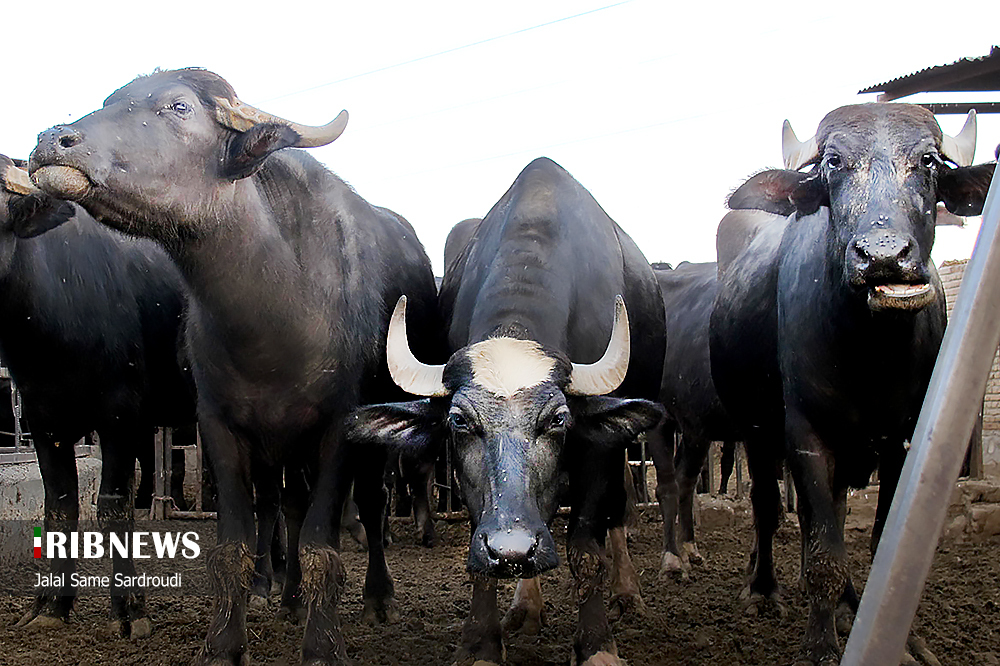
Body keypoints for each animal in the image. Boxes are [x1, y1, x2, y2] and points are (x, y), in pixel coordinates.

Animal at [0, 153, 194, 636]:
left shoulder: (120, 416)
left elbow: (112, 507)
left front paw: (130, 612)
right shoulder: (43, 422)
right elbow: (60, 508)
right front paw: (50, 607)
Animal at [29, 68, 444, 664]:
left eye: (178, 106)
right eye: (112, 99)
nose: (51, 141)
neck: (273, 320)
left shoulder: (339, 428)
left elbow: (321, 545)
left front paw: (322, 644)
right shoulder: (220, 426)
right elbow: (234, 546)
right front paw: (224, 643)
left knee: (372, 501)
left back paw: (378, 598)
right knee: (290, 506)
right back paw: (290, 600)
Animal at [348, 157, 668, 664]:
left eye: (558, 419)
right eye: (460, 421)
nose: (512, 550)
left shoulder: (594, 451)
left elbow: (586, 549)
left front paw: (597, 644)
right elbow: (482, 552)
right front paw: (481, 641)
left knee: (616, 509)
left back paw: (626, 592)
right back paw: (526, 607)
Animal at [708, 102, 996, 660]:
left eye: (929, 160)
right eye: (833, 162)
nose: (884, 256)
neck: (870, 358)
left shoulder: (902, 441)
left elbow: (876, 537)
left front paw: (897, 639)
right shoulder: (807, 435)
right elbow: (823, 551)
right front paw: (820, 645)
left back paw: (844, 604)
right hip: (754, 430)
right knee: (768, 507)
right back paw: (764, 589)